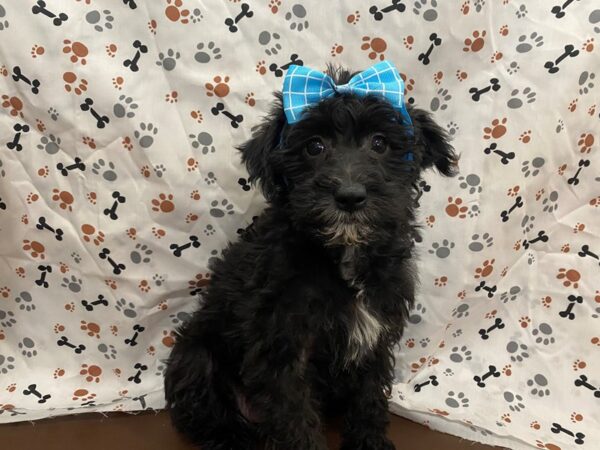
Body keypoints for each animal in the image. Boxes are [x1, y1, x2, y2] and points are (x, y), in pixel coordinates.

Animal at [164, 64, 454, 450]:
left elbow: (369, 396)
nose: (350, 196)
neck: (342, 254)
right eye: (314, 146)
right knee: (212, 418)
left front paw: (369, 442)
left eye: (380, 143)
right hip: (196, 357)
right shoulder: (282, 345)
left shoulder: (377, 332)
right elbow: (295, 417)